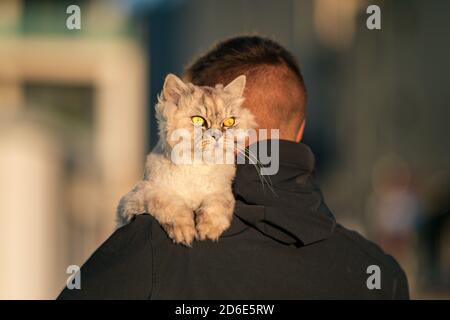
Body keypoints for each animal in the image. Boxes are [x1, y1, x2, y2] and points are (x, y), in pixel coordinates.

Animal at [116, 74, 256, 246]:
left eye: (229, 122)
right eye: (198, 120)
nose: (217, 136)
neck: (197, 166)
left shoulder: (222, 192)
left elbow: (217, 204)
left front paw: (208, 230)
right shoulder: (137, 197)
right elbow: (169, 204)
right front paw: (185, 232)